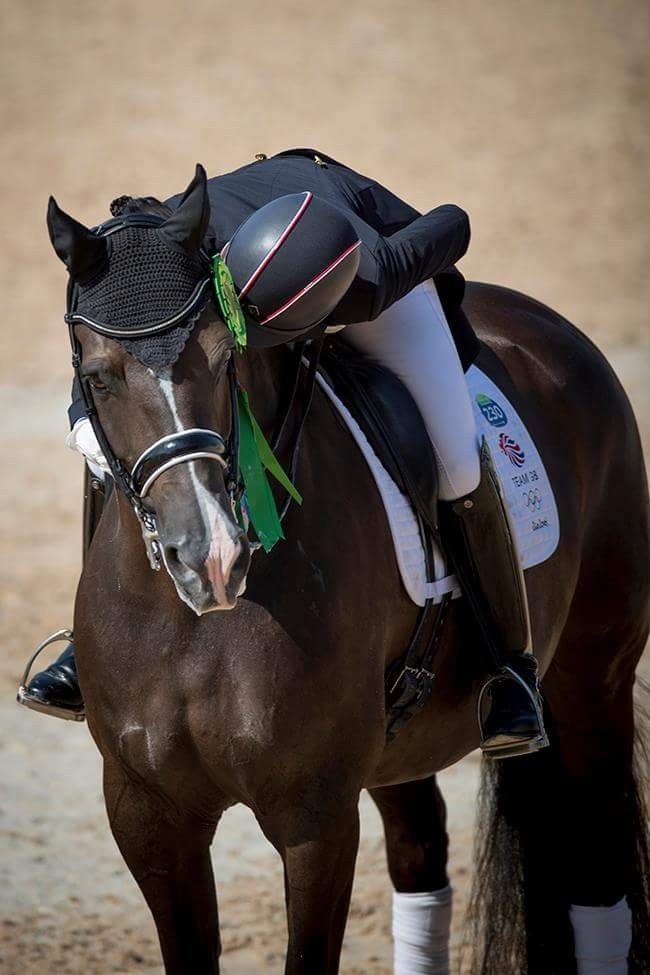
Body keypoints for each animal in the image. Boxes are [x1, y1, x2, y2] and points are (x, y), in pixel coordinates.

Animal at [67, 246, 649, 973]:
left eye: (226, 358)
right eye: (99, 376)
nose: (211, 554)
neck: (195, 626)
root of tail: (549, 326)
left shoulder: (314, 815)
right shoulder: (146, 813)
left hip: (594, 680)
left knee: (598, 871)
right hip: (398, 742)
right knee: (422, 856)